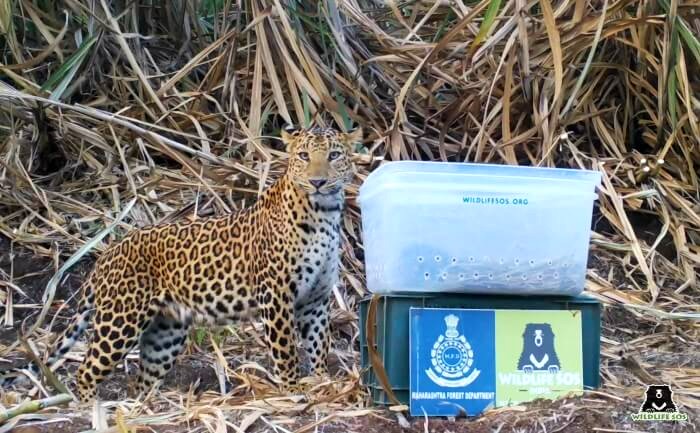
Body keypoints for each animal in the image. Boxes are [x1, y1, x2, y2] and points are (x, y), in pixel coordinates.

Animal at [0, 125, 360, 402]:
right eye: (303, 156)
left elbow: (319, 343)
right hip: (120, 320)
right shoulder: (276, 295)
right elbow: (285, 349)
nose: (318, 182)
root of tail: (108, 253)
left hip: (165, 333)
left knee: (142, 380)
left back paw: (145, 408)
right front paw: (292, 391)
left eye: (334, 155)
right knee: (87, 371)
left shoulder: (315, 299)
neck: (324, 213)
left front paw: (323, 383)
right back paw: (90, 410)